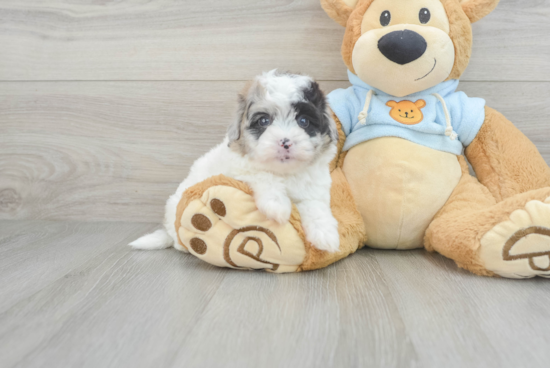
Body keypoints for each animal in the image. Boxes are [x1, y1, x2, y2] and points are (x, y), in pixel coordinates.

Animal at [132, 69, 342, 253]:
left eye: (304, 122)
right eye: (264, 121)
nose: (285, 142)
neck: (283, 172)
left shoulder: (314, 189)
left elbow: (316, 207)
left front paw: (326, 236)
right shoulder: (238, 170)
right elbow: (263, 176)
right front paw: (277, 206)